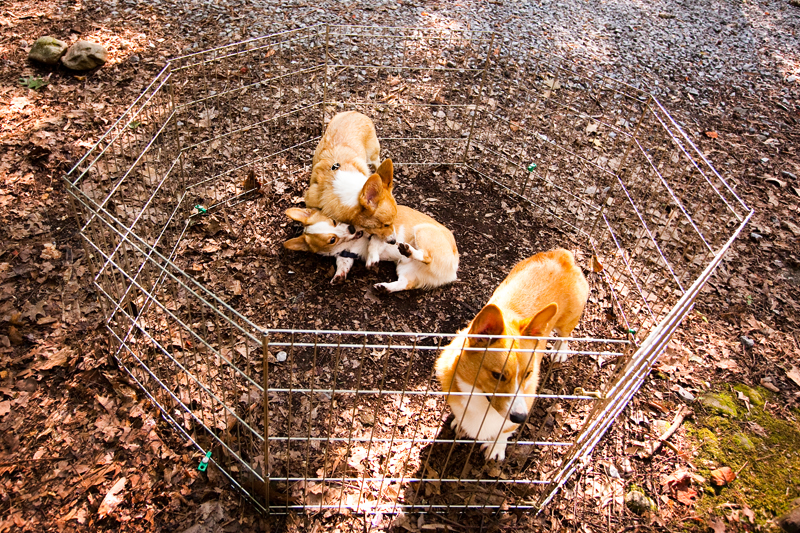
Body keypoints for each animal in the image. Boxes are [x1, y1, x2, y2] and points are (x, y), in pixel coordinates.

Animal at [282, 205, 460, 296]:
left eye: (333, 221)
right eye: (332, 240)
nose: (352, 229)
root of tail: (452, 271)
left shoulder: (382, 236)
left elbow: (373, 244)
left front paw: (371, 259)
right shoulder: (345, 255)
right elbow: (342, 264)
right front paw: (339, 276)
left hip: (422, 231)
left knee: (427, 256)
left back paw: (408, 250)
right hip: (404, 268)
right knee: (405, 282)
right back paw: (385, 287)